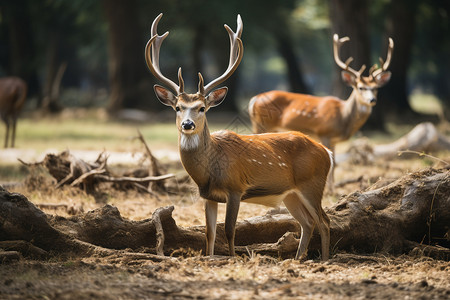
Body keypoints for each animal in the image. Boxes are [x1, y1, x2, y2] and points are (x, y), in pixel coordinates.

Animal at [146, 12, 332, 258]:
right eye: (177, 107)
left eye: (202, 108)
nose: (187, 124)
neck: (209, 171)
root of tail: (326, 152)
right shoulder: (208, 196)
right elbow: (209, 233)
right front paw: (210, 256)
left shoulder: (235, 187)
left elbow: (229, 230)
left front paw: (233, 257)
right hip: (291, 194)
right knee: (308, 223)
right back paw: (299, 259)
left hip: (312, 183)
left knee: (324, 221)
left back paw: (325, 259)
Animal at [248, 34, 392, 191]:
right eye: (360, 87)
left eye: (376, 88)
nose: (372, 100)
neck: (343, 118)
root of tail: (254, 99)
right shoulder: (324, 133)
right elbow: (332, 162)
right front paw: (330, 190)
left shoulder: (334, 140)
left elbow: (335, 163)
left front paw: (333, 188)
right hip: (262, 124)